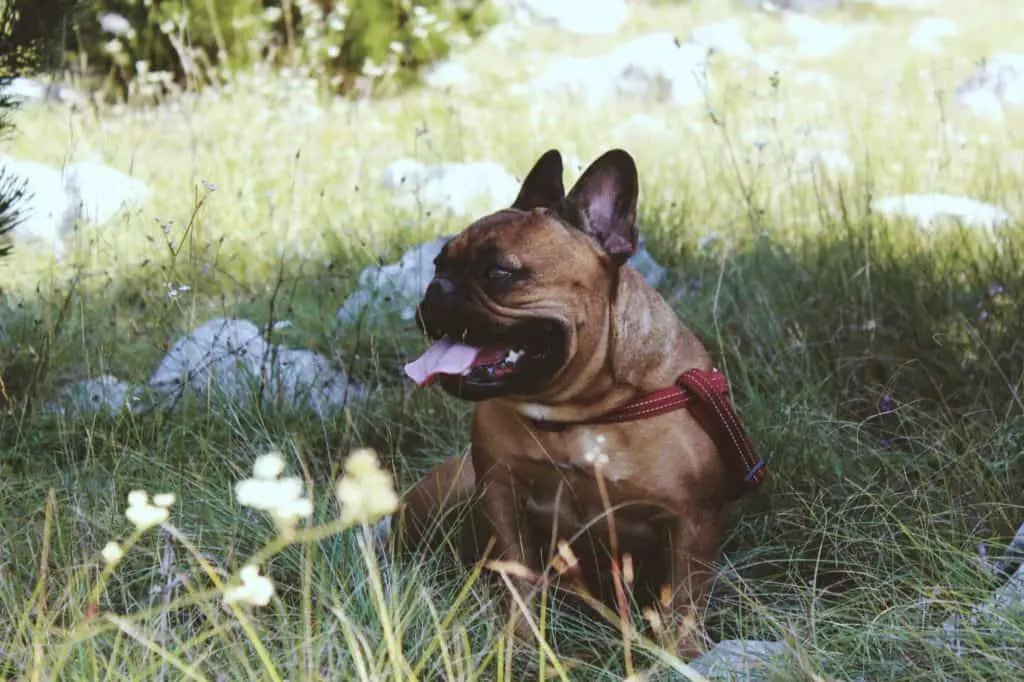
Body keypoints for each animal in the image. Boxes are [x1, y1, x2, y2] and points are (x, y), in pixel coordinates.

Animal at [387, 146, 765, 655]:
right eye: (437, 265)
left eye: (500, 273)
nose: (436, 290)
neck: (579, 413)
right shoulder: (501, 495)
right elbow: (518, 579)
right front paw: (522, 643)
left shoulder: (692, 521)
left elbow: (685, 599)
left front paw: (684, 655)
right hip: (442, 494)